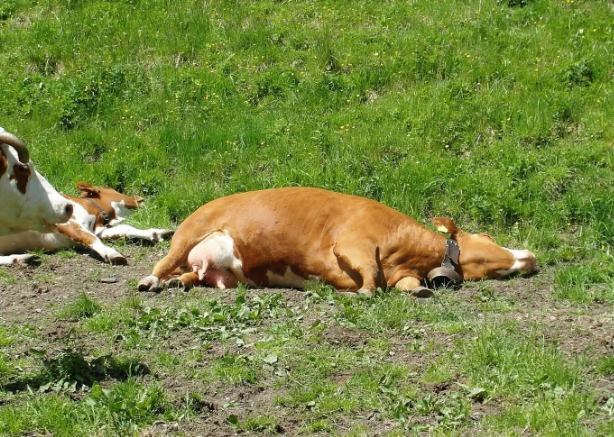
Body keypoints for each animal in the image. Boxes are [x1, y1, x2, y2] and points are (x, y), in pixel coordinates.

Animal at [0, 181, 174, 266]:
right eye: (113, 190)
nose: (140, 197)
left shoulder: (100, 230)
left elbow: (126, 228)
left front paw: (157, 232)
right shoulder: (68, 223)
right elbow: (91, 239)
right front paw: (112, 254)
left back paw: (23, 258)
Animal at [137, 186, 536, 294]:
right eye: (486, 238)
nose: (530, 256)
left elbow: (405, 285)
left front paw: (420, 290)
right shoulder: (352, 244)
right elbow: (370, 277)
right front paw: (362, 293)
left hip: (220, 272)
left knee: (191, 274)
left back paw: (182, 284)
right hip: (190, 233)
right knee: (164, 262)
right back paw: (150, 282)